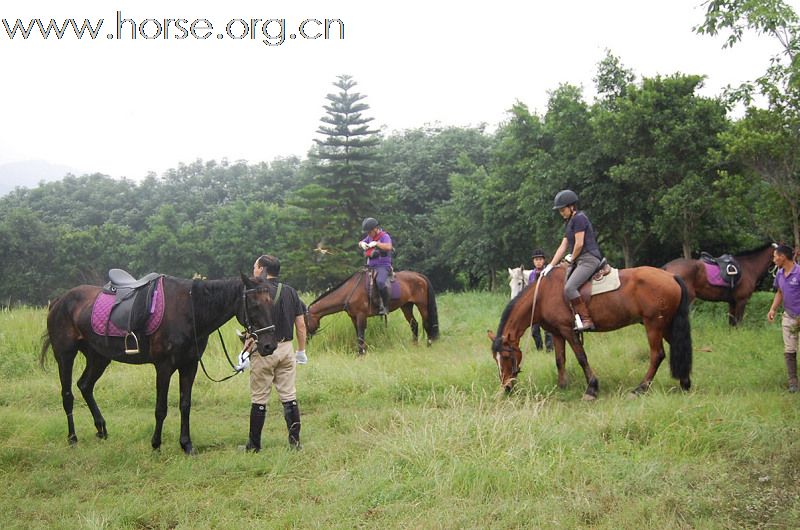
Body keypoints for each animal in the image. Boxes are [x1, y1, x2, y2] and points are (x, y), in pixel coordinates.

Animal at [40, 274, 278, 452]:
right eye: (254, 305)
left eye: (271, 303)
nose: (269, 345)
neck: (190, 309)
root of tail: (59, 301)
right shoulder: (164, 367)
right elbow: (161, 408)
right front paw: (156, 444)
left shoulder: (189, 366)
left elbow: (185, 404)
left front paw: (186, 445)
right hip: (65, 356)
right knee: (68, 395)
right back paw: (72, 438)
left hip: (99, 357)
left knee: (85, 386)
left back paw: (101, 429)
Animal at [308, 270, 444, 352]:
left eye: (305, 321)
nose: (306, 339)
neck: (349, 292)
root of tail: (419, 276)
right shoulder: (353, 317)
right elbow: (358, 335)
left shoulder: (361, 315)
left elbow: (361, 335)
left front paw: (361, 354)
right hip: (406, 306)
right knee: (414, 324)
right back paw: (415, 345)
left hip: (422, 305)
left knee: (427, 324)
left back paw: (429, 344)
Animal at [488, 266, 692, 398]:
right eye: (495, 360)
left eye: (506, 357)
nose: (506, 387)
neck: (543, 294)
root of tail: (672, 276)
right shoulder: (557, 333)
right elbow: (559, 359)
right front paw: (562, 386)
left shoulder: (568, 330)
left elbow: (581, 357)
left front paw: (592, 388)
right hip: (666, 325)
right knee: (678, 348)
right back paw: (685, 382)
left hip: (654, 325)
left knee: (657, 355)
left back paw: (640, 388)